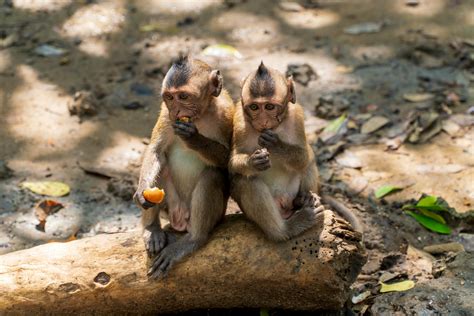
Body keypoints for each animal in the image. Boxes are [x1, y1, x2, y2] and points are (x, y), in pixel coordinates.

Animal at [134, 56, 234, 278]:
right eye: (170, 98)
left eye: (184, 96)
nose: (177, 111)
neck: (201, 116)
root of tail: (181, 219)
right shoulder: (166, 115)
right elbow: (155, 151)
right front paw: (142, 191)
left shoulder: (227, 114)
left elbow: (229, 162)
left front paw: (194, 138)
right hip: (170, 202)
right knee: (161, 165)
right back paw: (152, 229)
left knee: (212, 175)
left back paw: (193, 239)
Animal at [230, 61, 362, 241]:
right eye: (254, 107)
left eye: (269, 106)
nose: (263, 122)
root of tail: (284, 204)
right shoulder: (238, 119)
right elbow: (232, 163)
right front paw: (254, 161)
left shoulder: (297, 114)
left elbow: (303, 156)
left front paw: (275, 144)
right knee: (245, 180)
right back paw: (287, 229)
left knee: (309, 159)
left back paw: (303, 200)